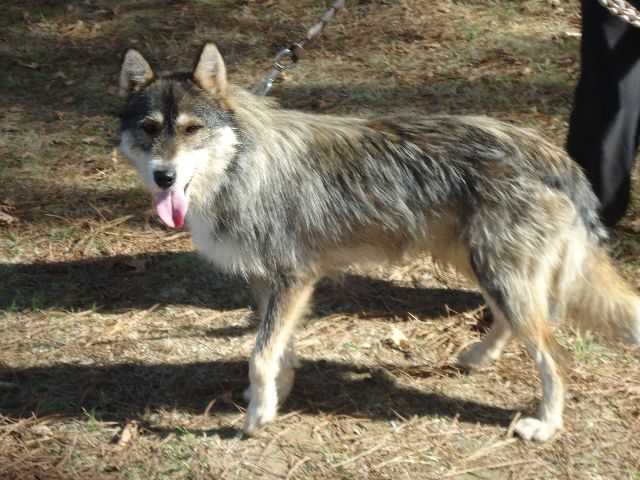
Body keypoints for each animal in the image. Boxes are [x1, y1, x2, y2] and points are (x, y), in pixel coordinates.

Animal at [116, 43, 640, 440]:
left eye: (191, 130)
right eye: (149, 129)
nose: (165, 178)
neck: (241, 166)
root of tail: (554, 154)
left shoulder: (294, 279)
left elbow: (259, 356)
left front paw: (257, 418)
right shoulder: (270, 284)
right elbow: (277, 351)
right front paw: (276, 395)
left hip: (498, 273)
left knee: (555, 357)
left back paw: (545, 426)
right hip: (483, 267)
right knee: (516, 323)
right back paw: (476, 357)